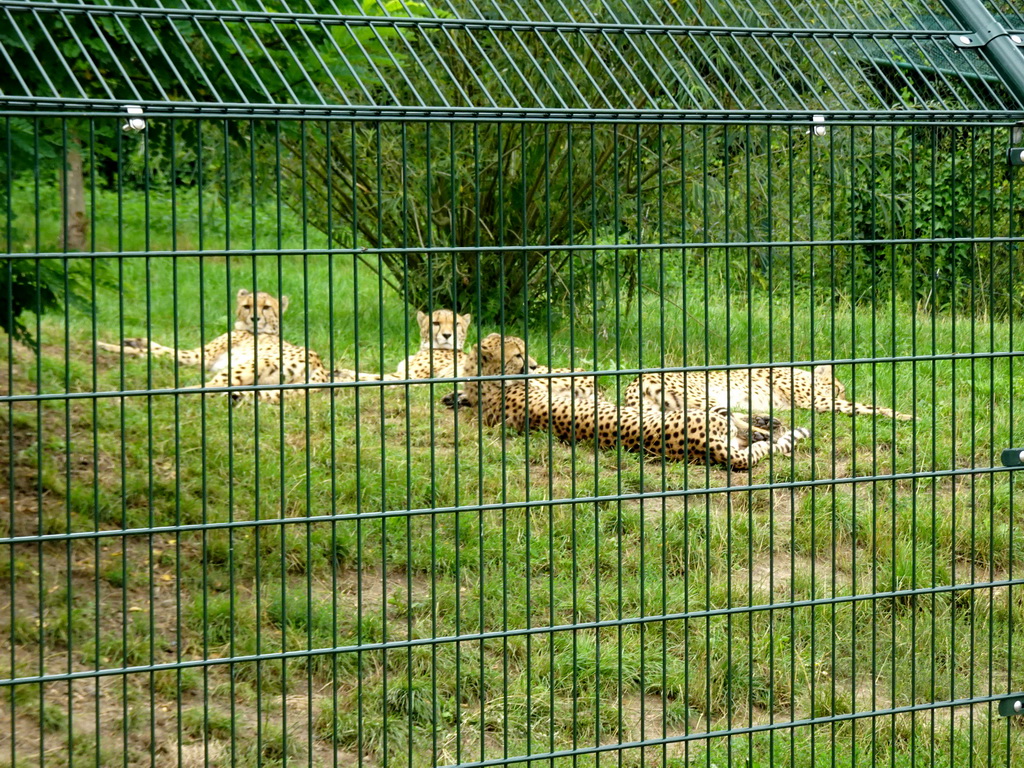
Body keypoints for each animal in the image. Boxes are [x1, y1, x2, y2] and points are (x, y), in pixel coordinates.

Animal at [97, 288, 329, 405]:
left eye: (266, 307)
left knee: (208, 388)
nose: (254, 318)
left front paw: (105, 345)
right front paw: (133, 340)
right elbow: (157, 346)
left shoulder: (199, 357)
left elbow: (161, 352)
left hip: (247, 365)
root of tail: (321, 367)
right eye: (247, 306)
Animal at [446, 335, 806, 473]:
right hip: (695, 414)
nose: (533, 365)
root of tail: (707, 449)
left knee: (739, 417)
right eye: (518, 354)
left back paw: (767, 424)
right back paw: (767, 430)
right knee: (737, 423)